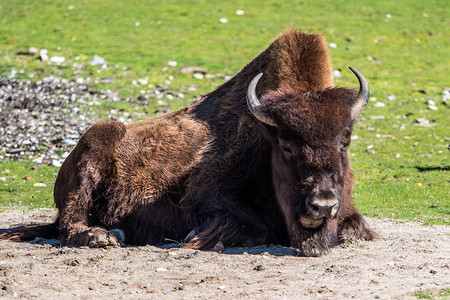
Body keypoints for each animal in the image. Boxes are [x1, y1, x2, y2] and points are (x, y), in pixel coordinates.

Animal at [0, 29, 376, 255]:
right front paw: (195, 238)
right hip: (96, 143)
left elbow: (355, 228)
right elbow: (247, 226)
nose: (322, 206)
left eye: (345, 142)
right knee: (69, 224)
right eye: (285, 144)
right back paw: (106, 236)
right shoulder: (204, 197)